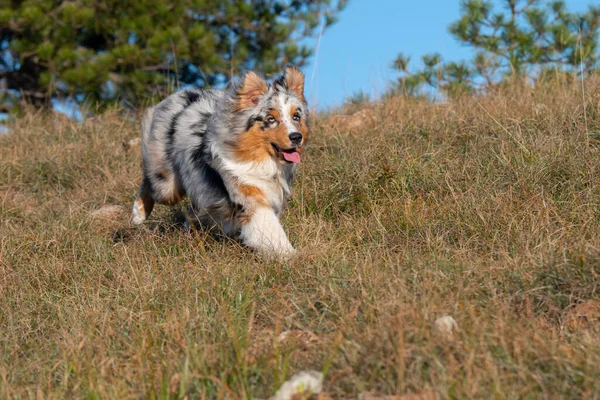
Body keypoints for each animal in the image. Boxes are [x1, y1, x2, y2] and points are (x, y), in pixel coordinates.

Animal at [132, 65, 310, 256]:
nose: (296, 137)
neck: (261, 160)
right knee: (149, 182)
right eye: (271, 119)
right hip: (166, 184)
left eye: (296, 117)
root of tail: (183, 93)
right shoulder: (247, 191)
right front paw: (290, 255)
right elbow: (270, 228)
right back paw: (138, 214)